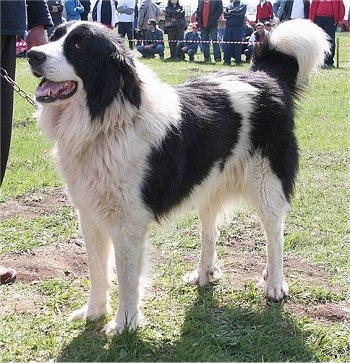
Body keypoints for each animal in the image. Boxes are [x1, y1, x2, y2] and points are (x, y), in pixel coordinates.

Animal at [26, 19, 328, 336]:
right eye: (54, 36)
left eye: (78, 45)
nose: (33, 54)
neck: (108, 122)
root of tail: (265, 77)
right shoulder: (89, 215)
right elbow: (97, 271)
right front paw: (93, 312)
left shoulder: (127, 223)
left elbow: (127, 278)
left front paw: (124, 324)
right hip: (208, 186)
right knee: (210, 232)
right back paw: (204, 273)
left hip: (267, 184)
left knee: (275, 235)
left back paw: (274, 283)